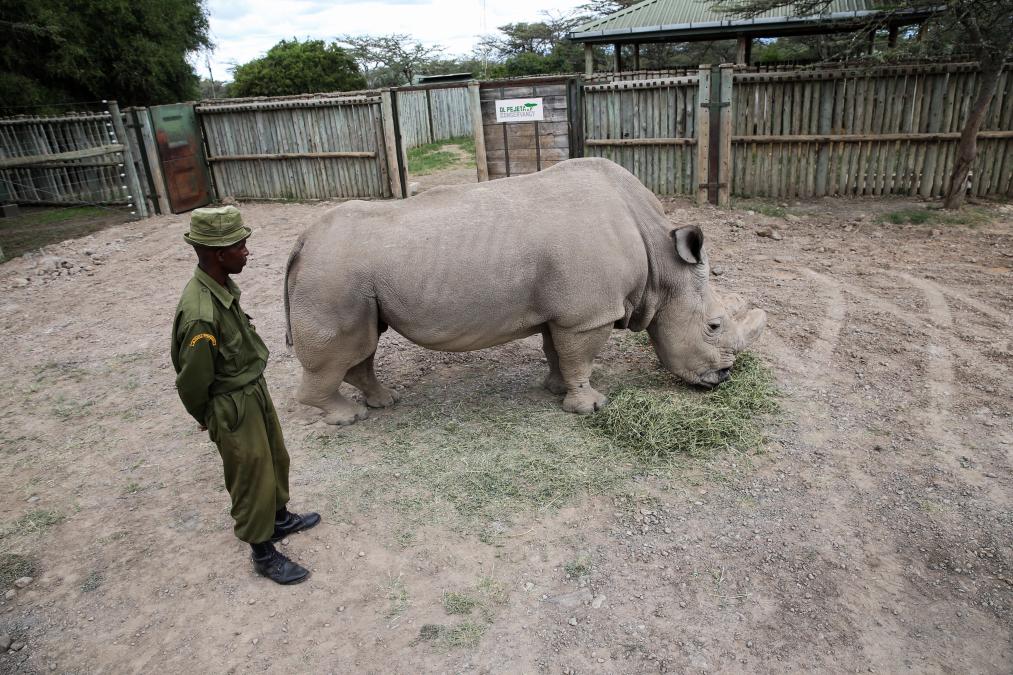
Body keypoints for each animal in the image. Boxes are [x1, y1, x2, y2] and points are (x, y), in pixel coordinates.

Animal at [281, 158, 761, 423]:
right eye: (714, 326)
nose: (723, 378)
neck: (662, 262)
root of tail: (302, 240)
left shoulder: (566, 310)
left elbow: (557, 351)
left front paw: (555, 389)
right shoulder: (588, 314)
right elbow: (580, 357)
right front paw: (590, 408)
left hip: (347, 278)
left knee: (364, 344)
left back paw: (384, 402)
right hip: (332, 274)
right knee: (346, 348)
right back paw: (350, 418)